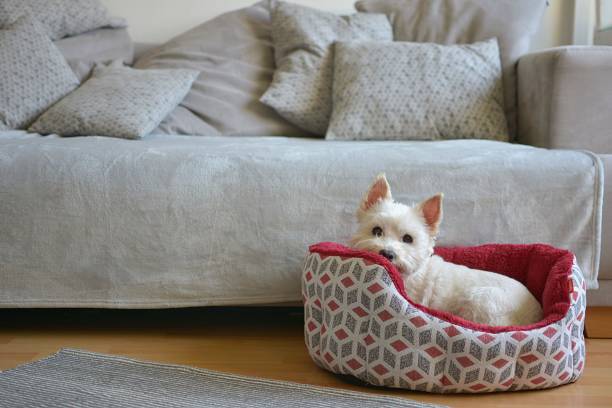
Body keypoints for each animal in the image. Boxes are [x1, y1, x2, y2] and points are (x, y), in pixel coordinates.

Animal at [352, 174, 544, 326]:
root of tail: (536, 315)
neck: (405, 278)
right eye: (377, 231)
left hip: (482, 300)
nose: (387, 253)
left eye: (408, 239)